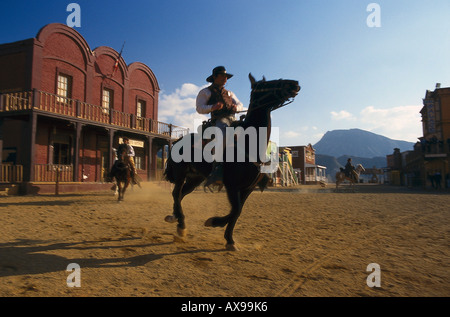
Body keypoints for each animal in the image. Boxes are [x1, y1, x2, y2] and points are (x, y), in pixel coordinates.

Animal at [163, 73, 300, 249]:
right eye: (266, 85)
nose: (294, 84)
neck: (249, 143)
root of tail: (177, 140)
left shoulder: (248, 188)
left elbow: (238, 211)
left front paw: (229, 239)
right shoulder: (231, 185)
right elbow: (236, 210)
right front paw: (214, 222)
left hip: (195, 178)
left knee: (181, 194)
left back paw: (175, 218)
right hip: (181, 174)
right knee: (176, 193)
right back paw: (181, 225)